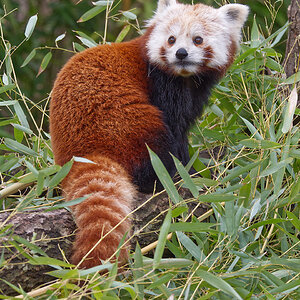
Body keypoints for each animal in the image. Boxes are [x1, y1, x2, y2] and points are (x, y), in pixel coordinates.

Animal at [51, 0, 248, 268]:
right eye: (172, 39)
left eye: (197, 40)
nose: (181, 53)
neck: (183, 78)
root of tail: (83, 151)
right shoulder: (163, 87)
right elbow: (176, 132)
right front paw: (189, 167)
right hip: (128, 124)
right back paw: (167, 177)